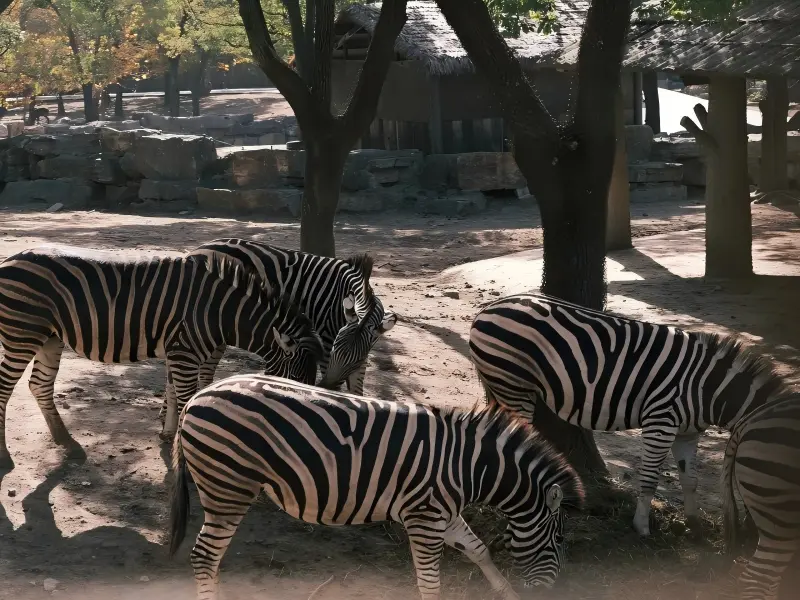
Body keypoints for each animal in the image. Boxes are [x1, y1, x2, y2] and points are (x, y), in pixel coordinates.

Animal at [0, 244, 322, 469]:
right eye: (293, 382)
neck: (220, 312)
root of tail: (11, 258)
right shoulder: (184, 351)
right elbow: (185, 398)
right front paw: (183, 448)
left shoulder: (177, 349)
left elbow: (171, 390)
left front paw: (168, 435)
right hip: (22, 333)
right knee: (5, 389)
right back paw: (6, 456)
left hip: (49, 337)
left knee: (39, 385)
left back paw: (66, 441)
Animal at [169, 374, 584, 600]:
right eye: (560, 540)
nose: (555, 591)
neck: (468, 467)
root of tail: (197, 397)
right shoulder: (424, 519)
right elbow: (429, 583)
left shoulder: (444, 513)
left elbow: (479, 549)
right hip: (228, 487)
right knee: (204, 556)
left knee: (211, 558)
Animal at [178, 238, 396, 396]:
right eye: (335, 350)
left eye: (358, 359)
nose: (327, 386)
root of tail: (197, 250)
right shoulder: (326, 339)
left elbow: (357, 389)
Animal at [468, 292, 792, 537]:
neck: (707, 389)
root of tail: (488, 308)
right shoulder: (661, 422)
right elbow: (649, 479)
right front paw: (641, 528)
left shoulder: (687, 432)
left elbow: (690, 479)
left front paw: (695, 526)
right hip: (513, 384)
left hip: (503, 385)